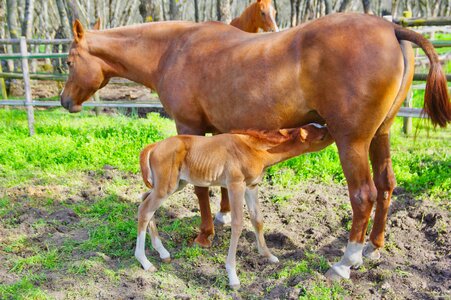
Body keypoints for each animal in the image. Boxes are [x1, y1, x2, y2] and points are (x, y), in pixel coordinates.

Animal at [136, 123, 334, 288]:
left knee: (145, 201)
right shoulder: (235, 185)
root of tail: (154, 146)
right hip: (166, 187)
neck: (253, 149)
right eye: (321, 136)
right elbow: (238, 223)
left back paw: (163, 253)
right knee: (145, 210)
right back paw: (145, 262)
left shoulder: (251, 186)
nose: (331, 129)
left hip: (175, 185)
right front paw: (233, 276)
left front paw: (268, 255)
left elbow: (257, 219)